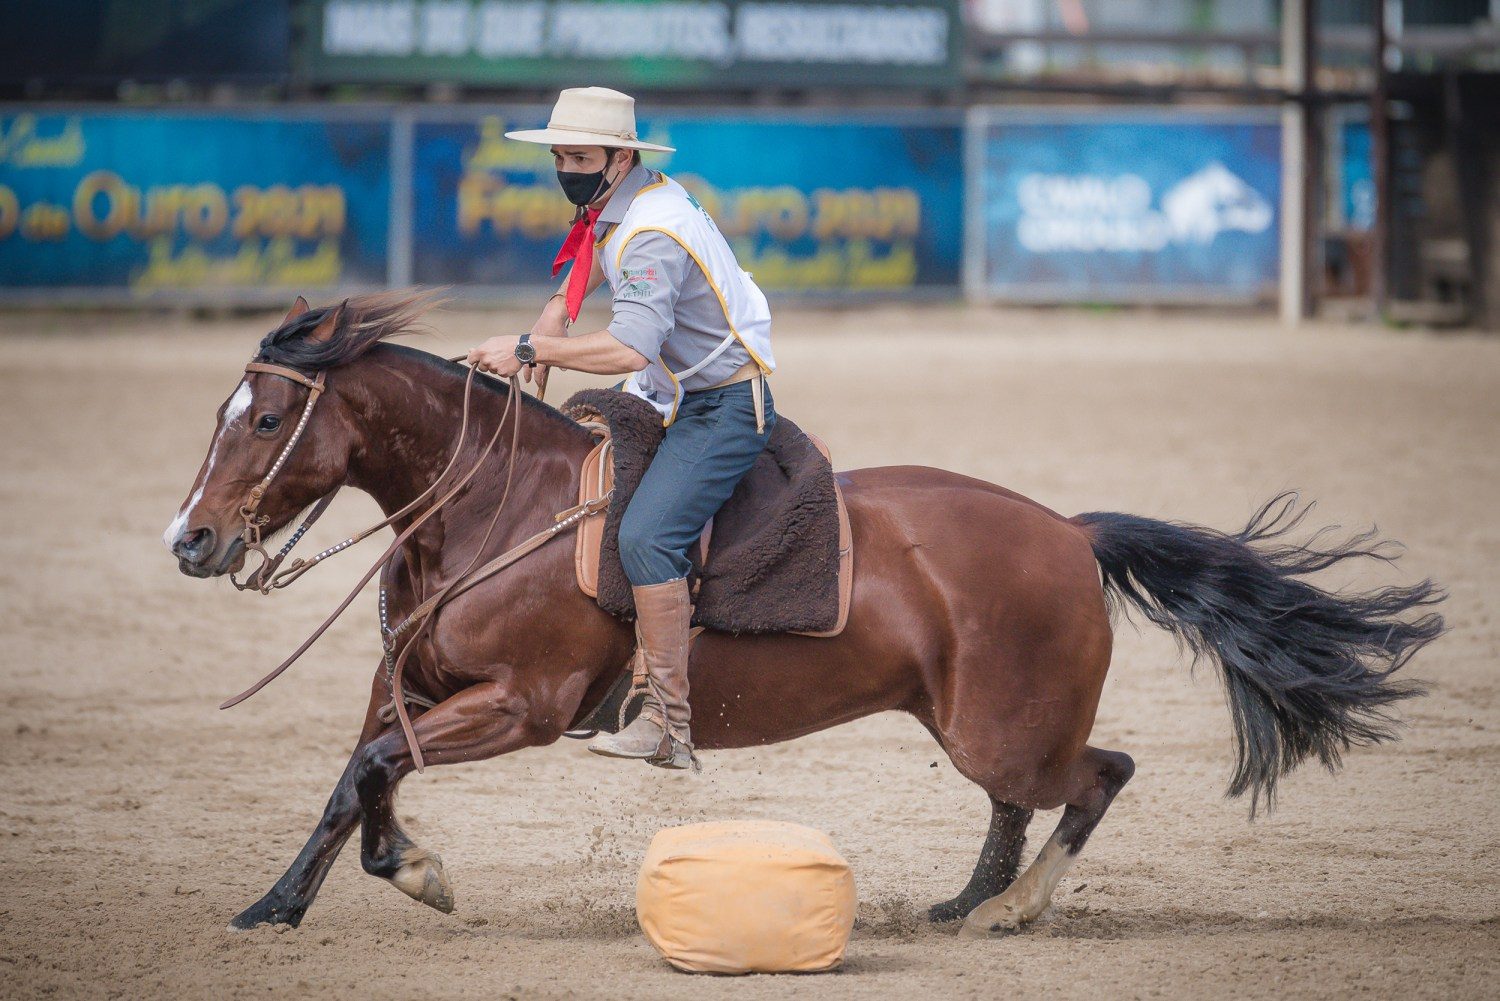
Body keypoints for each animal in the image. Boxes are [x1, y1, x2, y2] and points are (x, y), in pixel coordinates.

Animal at [161, 294, 1440, 936]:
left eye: (266, 419)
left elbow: (380, 772)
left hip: (1006, 724)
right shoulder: (407, 684)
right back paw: (965, 900)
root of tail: (1069, 531)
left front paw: (419, 869)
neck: (489, 508)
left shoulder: (522, 705)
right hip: (969, 719)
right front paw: (281, 902)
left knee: (1094, 776)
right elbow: (355, 775)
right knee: (1024, 800)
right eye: (220, 410)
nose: (191, 540)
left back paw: (1013, 907)